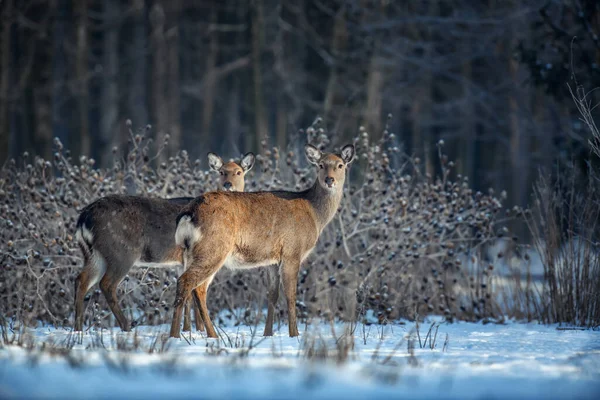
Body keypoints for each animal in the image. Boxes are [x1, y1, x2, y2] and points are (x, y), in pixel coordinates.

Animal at [74, 152, 254, 330]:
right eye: (221, 172)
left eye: (239, 172)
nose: (228, 184)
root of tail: (83, 218)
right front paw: (197, 330)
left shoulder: (183, 261)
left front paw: (187, 330)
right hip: (121, 252)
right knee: (107, 284)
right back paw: (126, 325)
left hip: (93, 254)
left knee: (81, 280)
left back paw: (78, 328)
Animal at [170, 144, 356, 338]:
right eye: (320, 165)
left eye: (340, 165)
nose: (329, 180)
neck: (314, 214)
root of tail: (188, 213)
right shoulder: (292, 250)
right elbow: (291, 295)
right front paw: (295, 334)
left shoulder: (273, 259)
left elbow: (272, 295)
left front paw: (268, 333)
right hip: (213, 247)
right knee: (186, 282)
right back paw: (176, 335)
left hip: (193, 252)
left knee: (198, 289)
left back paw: (211, 335)